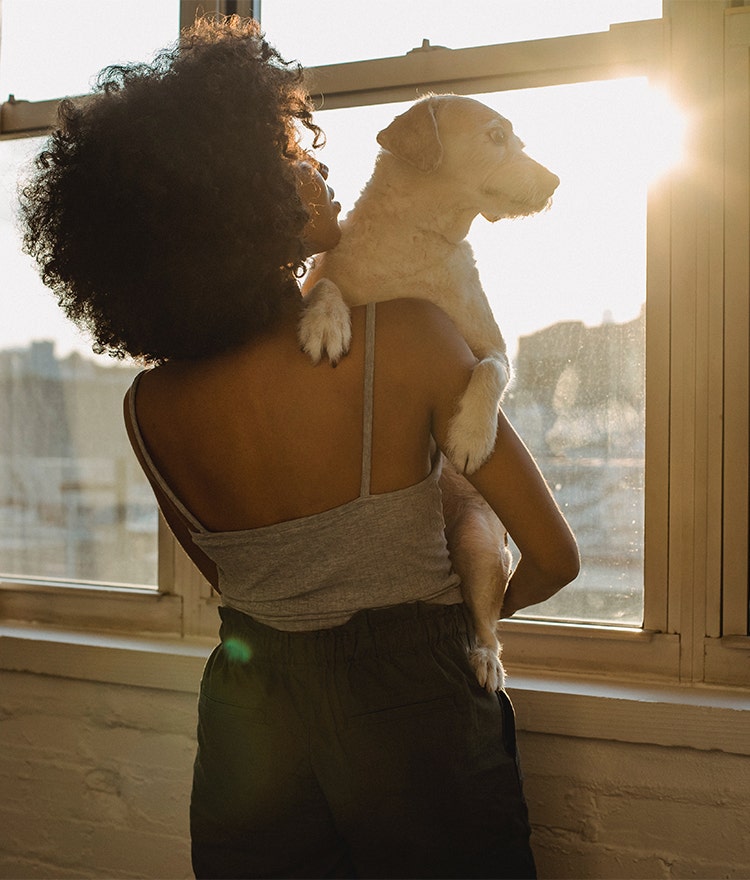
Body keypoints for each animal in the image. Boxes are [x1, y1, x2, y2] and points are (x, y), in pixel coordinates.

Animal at [298, 94, 560, 688]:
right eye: (495, 136)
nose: (556, 180)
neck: (419, 237)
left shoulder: (494, 346)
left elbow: (490, 370)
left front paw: (469, 437)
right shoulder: (324, 278)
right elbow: (326, 287)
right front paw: (326, 323)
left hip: (482, 544)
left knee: (486, 623)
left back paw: (485, 659)